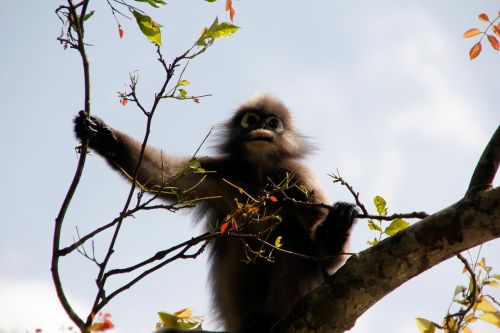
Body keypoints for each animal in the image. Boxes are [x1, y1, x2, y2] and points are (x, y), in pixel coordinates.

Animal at [73, 94, 356, 332]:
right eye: (251, 120)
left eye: (274, 123)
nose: (262, 129)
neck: (258, 174)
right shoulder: (221, 171)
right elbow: (167, 179)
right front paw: (105, 139)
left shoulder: (297, 178)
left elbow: (326, 259)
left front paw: (335, 229)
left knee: (293, 239)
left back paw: (267, 319)